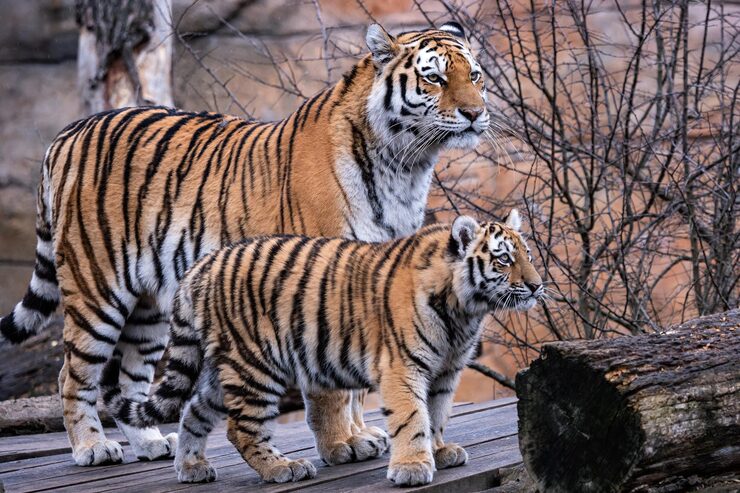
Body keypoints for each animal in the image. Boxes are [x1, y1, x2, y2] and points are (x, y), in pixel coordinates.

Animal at [0, 21, 490, 468]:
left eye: (475, 75)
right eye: (435, 78)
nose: (475, 113)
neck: (404, 165)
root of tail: (66, 134)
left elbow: (350, 379)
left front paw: (360, 435)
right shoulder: (323, 281)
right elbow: (331, 386)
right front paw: (341, 445)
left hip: (149, 305)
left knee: (129, 377)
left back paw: (151, 443)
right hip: (96, 289)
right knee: (73, 374)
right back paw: (92, 448)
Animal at [103, 210, 543, 485]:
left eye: (528, 255)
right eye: (504, 260)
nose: (538, 285)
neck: (465, 310)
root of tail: (201, 267)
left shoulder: (446, 370)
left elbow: (435, 415)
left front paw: (439, 450)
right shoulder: (404, 367)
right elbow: (412, 417)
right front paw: (413, 467)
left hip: (222, 368)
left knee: (194, 410)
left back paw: (192, 468)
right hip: (255, 367)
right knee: (241, 428)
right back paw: (281, 469)